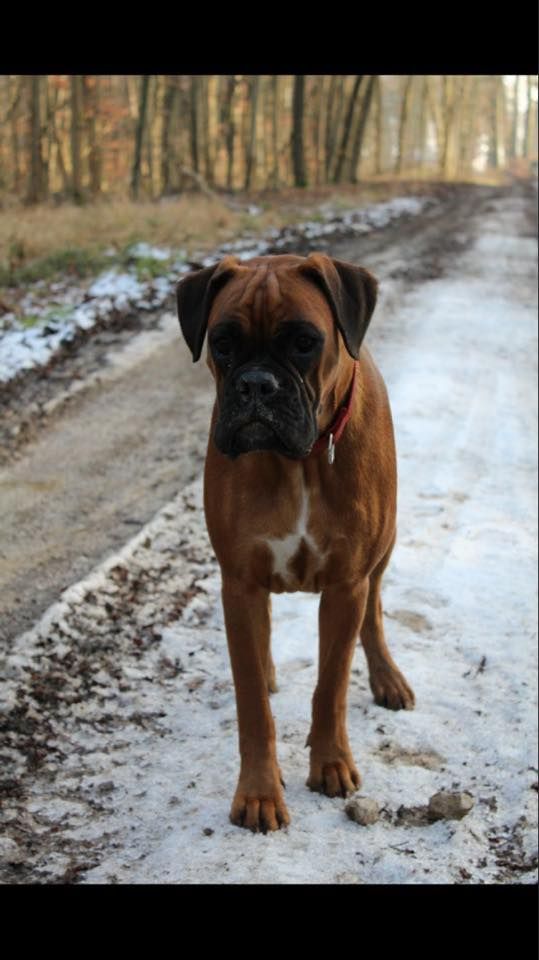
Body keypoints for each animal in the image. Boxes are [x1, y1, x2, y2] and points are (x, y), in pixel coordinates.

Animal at [176, 255, 414, 832]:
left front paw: (330, 763)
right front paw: (259, 792)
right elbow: (251, 706)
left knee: (374, 615)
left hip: (383, 548)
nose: (257, 385)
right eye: (223, 342)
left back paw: (387, 678)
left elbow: (331, 686)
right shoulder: (239, 583)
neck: (299, 464)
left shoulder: (346, 585)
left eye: (304, 341)